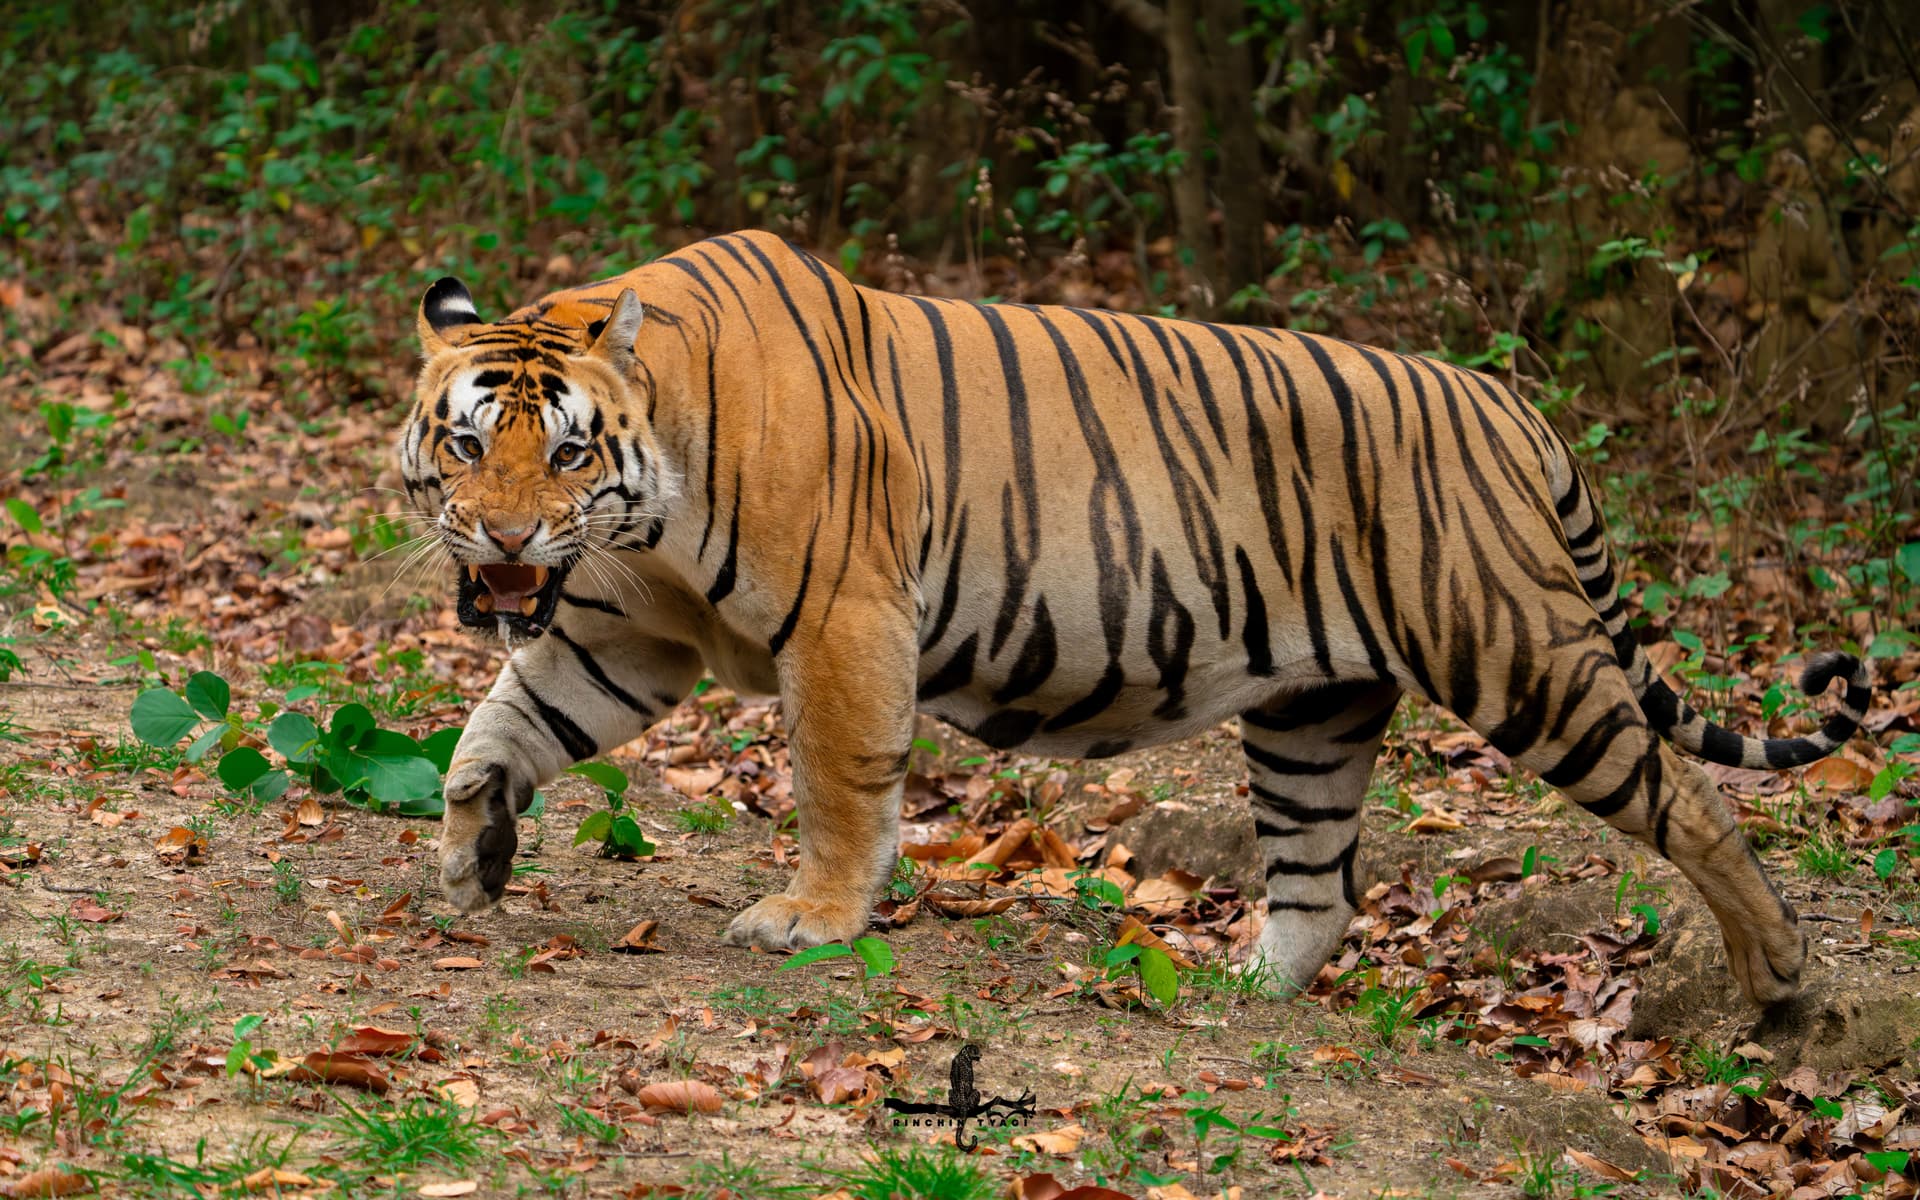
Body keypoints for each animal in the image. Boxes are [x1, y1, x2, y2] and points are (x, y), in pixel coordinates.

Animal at [398, 229, 1871, 1006]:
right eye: (468, 444)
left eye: (567, 452)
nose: (511, 539)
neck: (644, 504)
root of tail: (1506, 397)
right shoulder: (625, 633)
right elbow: (500, 728)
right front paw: (472, 857)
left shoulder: (847, 618)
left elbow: (840, 780)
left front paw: (810, 921)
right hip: (1313, 713)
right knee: (1319, 882)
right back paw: (1242, 992)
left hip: (1521, 656)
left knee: (1691, 800)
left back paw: (1781, 980)